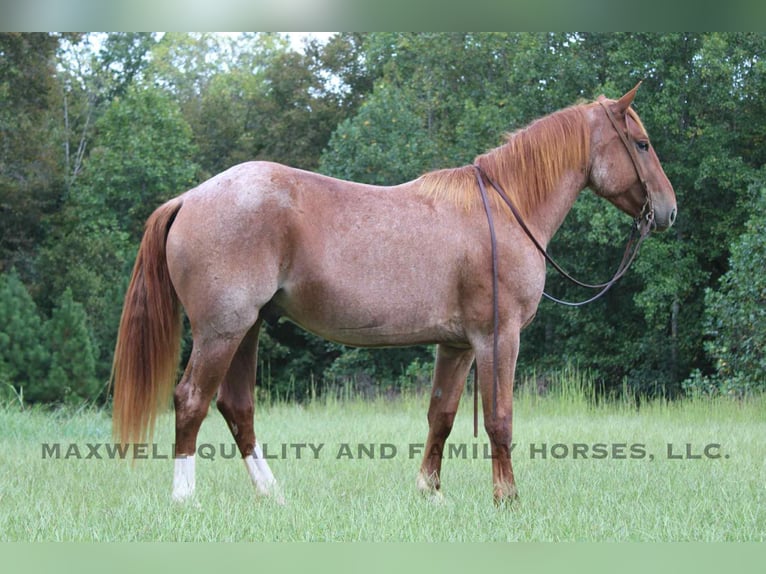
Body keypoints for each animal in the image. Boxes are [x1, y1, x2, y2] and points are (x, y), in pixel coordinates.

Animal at [111, 84, 676, 504]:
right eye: (642, 143)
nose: (668, 210)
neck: (505, 208)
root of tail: (190, 198)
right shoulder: (499, 338)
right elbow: (499, 418)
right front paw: (507, 499)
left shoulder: (457, 345)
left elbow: (441, 416)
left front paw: (430, 492)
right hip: (221, 331)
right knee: (191, 401)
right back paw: (185, 498)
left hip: (245, 328)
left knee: (236, 406)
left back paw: (273, 494)